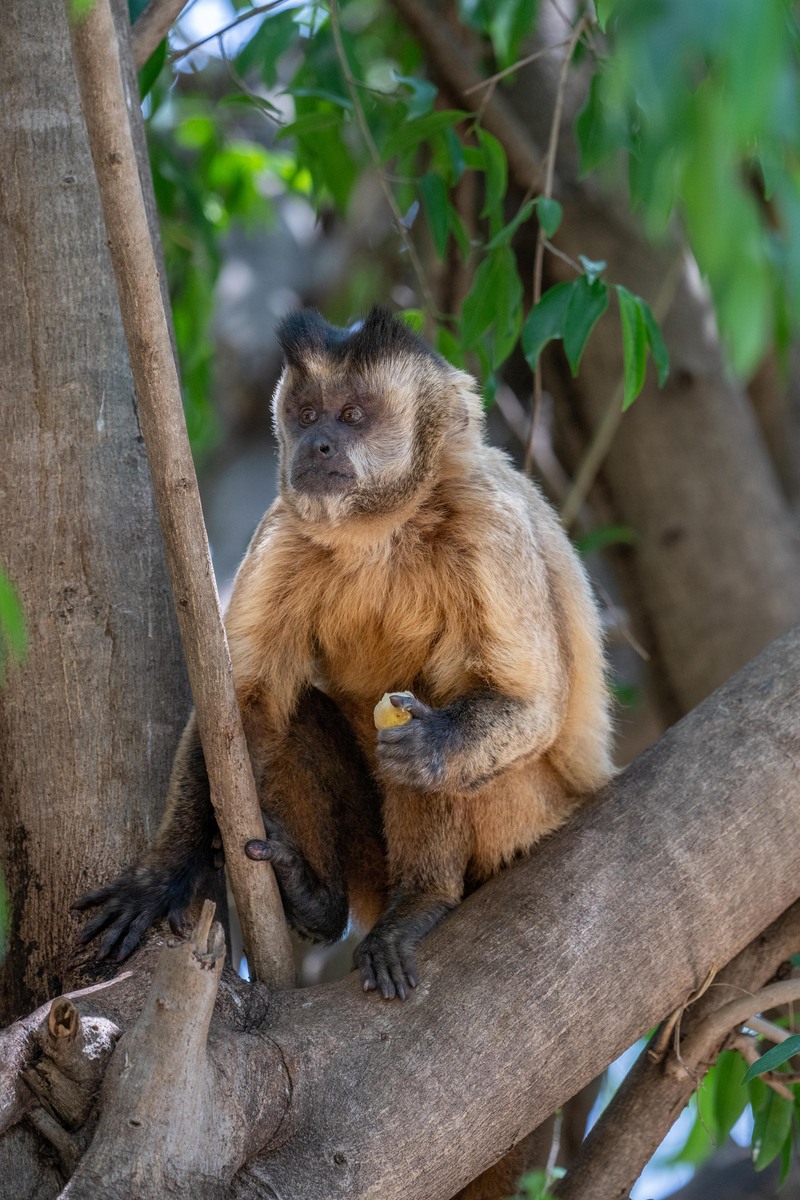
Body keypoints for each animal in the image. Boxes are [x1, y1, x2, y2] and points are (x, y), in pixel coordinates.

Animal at [76, 304, 614, 998]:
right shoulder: (285, 530)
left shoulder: (488, 524)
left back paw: (421, 901)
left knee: (432, 721)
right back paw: (316, 899)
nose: (318, 444)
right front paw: (168, 871)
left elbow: (530, 703)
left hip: (528, 816)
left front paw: (434, 742)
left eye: (353, 415)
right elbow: (240, 710)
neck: (382, 531)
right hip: (369, 860)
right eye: (307, 414)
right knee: (289, 713)